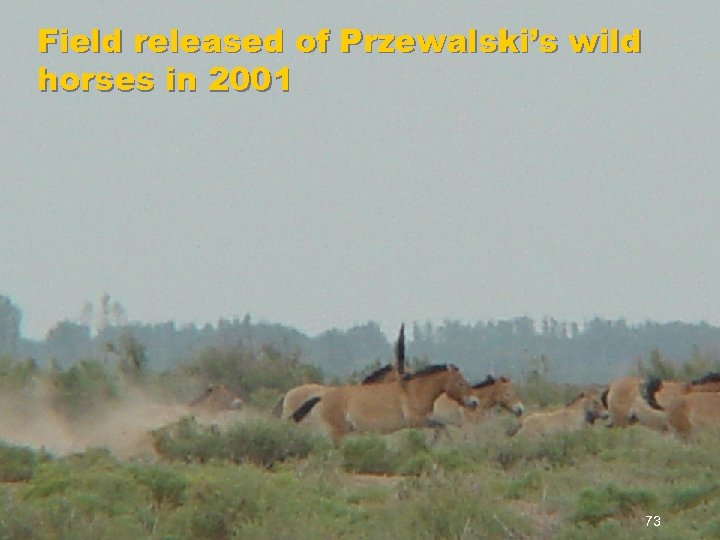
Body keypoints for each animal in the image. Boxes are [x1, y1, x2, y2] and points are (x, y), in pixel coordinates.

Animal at [292, 364, 479, 444]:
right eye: (461, 383)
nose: (474, 402)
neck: (413, 390)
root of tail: (322, 396)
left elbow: (442, 428)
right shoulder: (416, 421)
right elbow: (440, 426)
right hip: (337, 432)